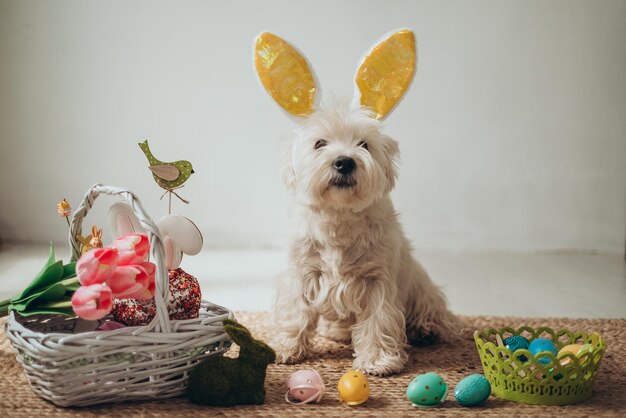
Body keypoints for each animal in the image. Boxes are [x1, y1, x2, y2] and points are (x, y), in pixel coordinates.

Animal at [251, 30, 460, 376]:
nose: (344, 162)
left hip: (419, 283)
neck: (339, 217)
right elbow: (295, 312)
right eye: (320, 143)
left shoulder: (377, 280)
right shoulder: (303, 273)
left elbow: (378, 320)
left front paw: (378, 361)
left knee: (434, 309)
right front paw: (285, 348)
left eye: (364, 144)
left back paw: (427, 329)